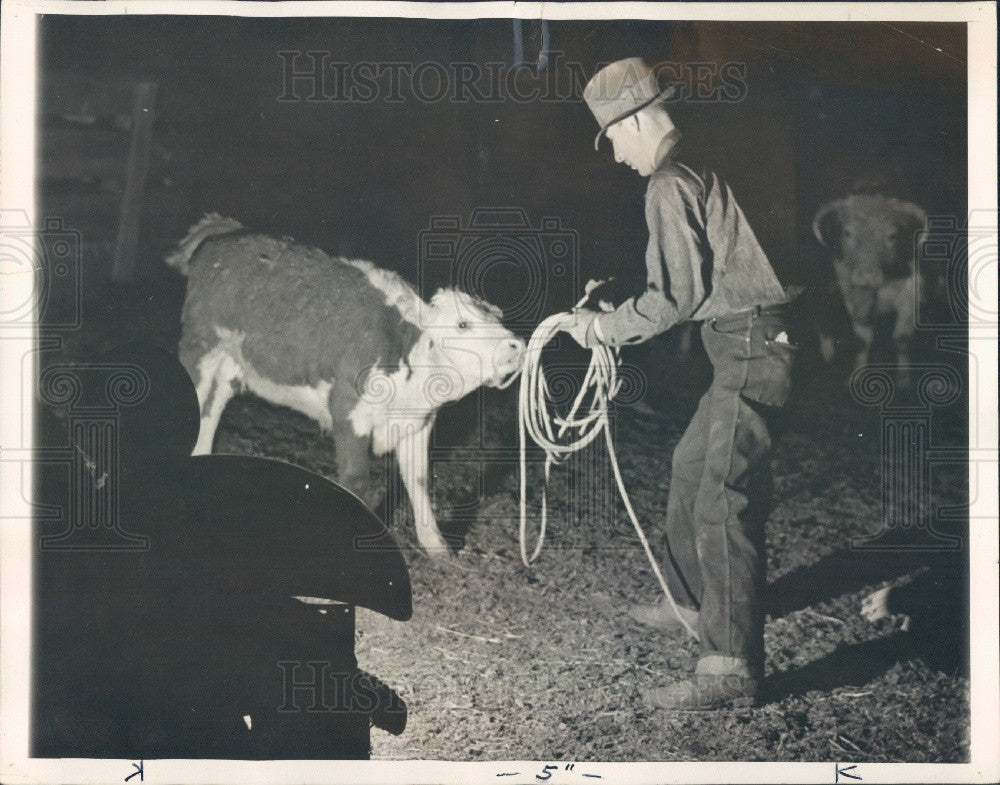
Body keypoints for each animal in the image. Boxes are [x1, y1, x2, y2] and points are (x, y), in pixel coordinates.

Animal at [166, 214, 524, 556]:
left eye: (499, 321)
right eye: (462, 324)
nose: (516, 346)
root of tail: (227, 232)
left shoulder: (418, 423)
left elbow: (419, 481)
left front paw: (438, 549)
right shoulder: (349, 411)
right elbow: (357, 481)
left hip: (231, 363)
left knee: (211, 411)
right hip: (200, 346)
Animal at [812, 194, 928, 388]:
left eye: (892, 236)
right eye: (847, 233)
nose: (867, 274)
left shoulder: (910, 299)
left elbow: (901, 339)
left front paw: (903, 379)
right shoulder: (854, 298)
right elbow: (862, 340)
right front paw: (857, 375)